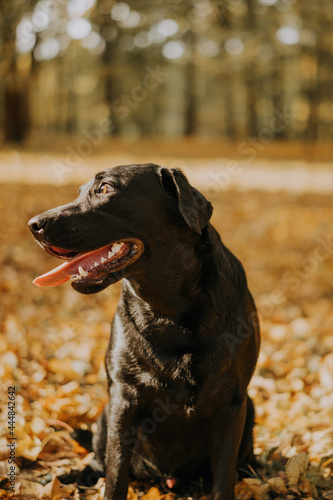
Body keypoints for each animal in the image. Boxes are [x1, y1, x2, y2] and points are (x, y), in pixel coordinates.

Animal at [29, 165, 260, 500]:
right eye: (80, 192)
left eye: (105, 189)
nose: (33, 224)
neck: (171, 312)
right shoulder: (123, 396)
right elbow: (115, 474)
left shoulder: (230, 400)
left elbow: (223, 480)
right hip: (105, 413)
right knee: (98, 463)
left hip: (250, 407)